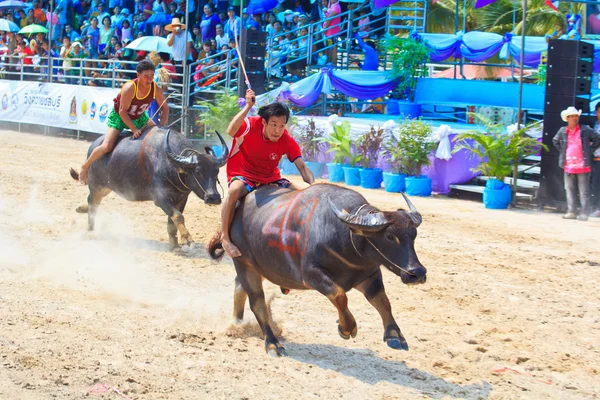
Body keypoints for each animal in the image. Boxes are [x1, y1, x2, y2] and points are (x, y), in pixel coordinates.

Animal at [70, 126, 229, 248]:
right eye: (198, 172)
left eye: (216, 172)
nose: (214, 198)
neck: (172, 166)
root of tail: (93, 147)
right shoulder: (161, 199)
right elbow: (178, 216)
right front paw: (187, 240)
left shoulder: (182, 198)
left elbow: (172, 221)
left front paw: (174, 244)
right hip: (96, 185)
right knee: (93, 203)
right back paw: (90, 230)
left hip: (106, 187)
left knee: (91, 200)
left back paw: (81, 208)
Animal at [210, 183, 426, 354]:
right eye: (390, 236)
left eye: (413, 235)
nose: (417, 273)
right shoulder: (311, 275)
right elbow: (339, 295)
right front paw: (347, 328)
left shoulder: (369, 274)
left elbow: (383, 301)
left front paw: (394, 335)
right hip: (244, 263)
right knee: (257, 303)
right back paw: (272, 343)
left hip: (261, 267)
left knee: (239, 287)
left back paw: (237, 323)